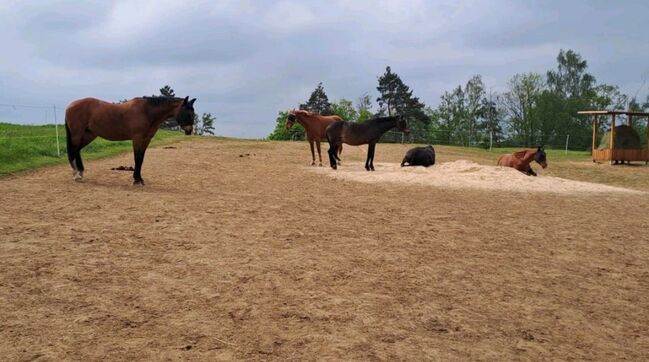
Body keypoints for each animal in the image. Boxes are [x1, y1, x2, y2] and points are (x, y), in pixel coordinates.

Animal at [63, 96, 196, 185]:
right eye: (187, 113)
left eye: (192, 113)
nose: (189, 130)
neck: (146, 111)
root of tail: (70, 105)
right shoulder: (137, 139)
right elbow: (137, 158)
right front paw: (137, 180)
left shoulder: (146, 140)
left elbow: (141, 159)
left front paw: (139, 178)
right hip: (78, 134)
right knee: (74, 150)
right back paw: (76, 175)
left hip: (89, 135)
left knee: (77, 150)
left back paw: (80, 173)